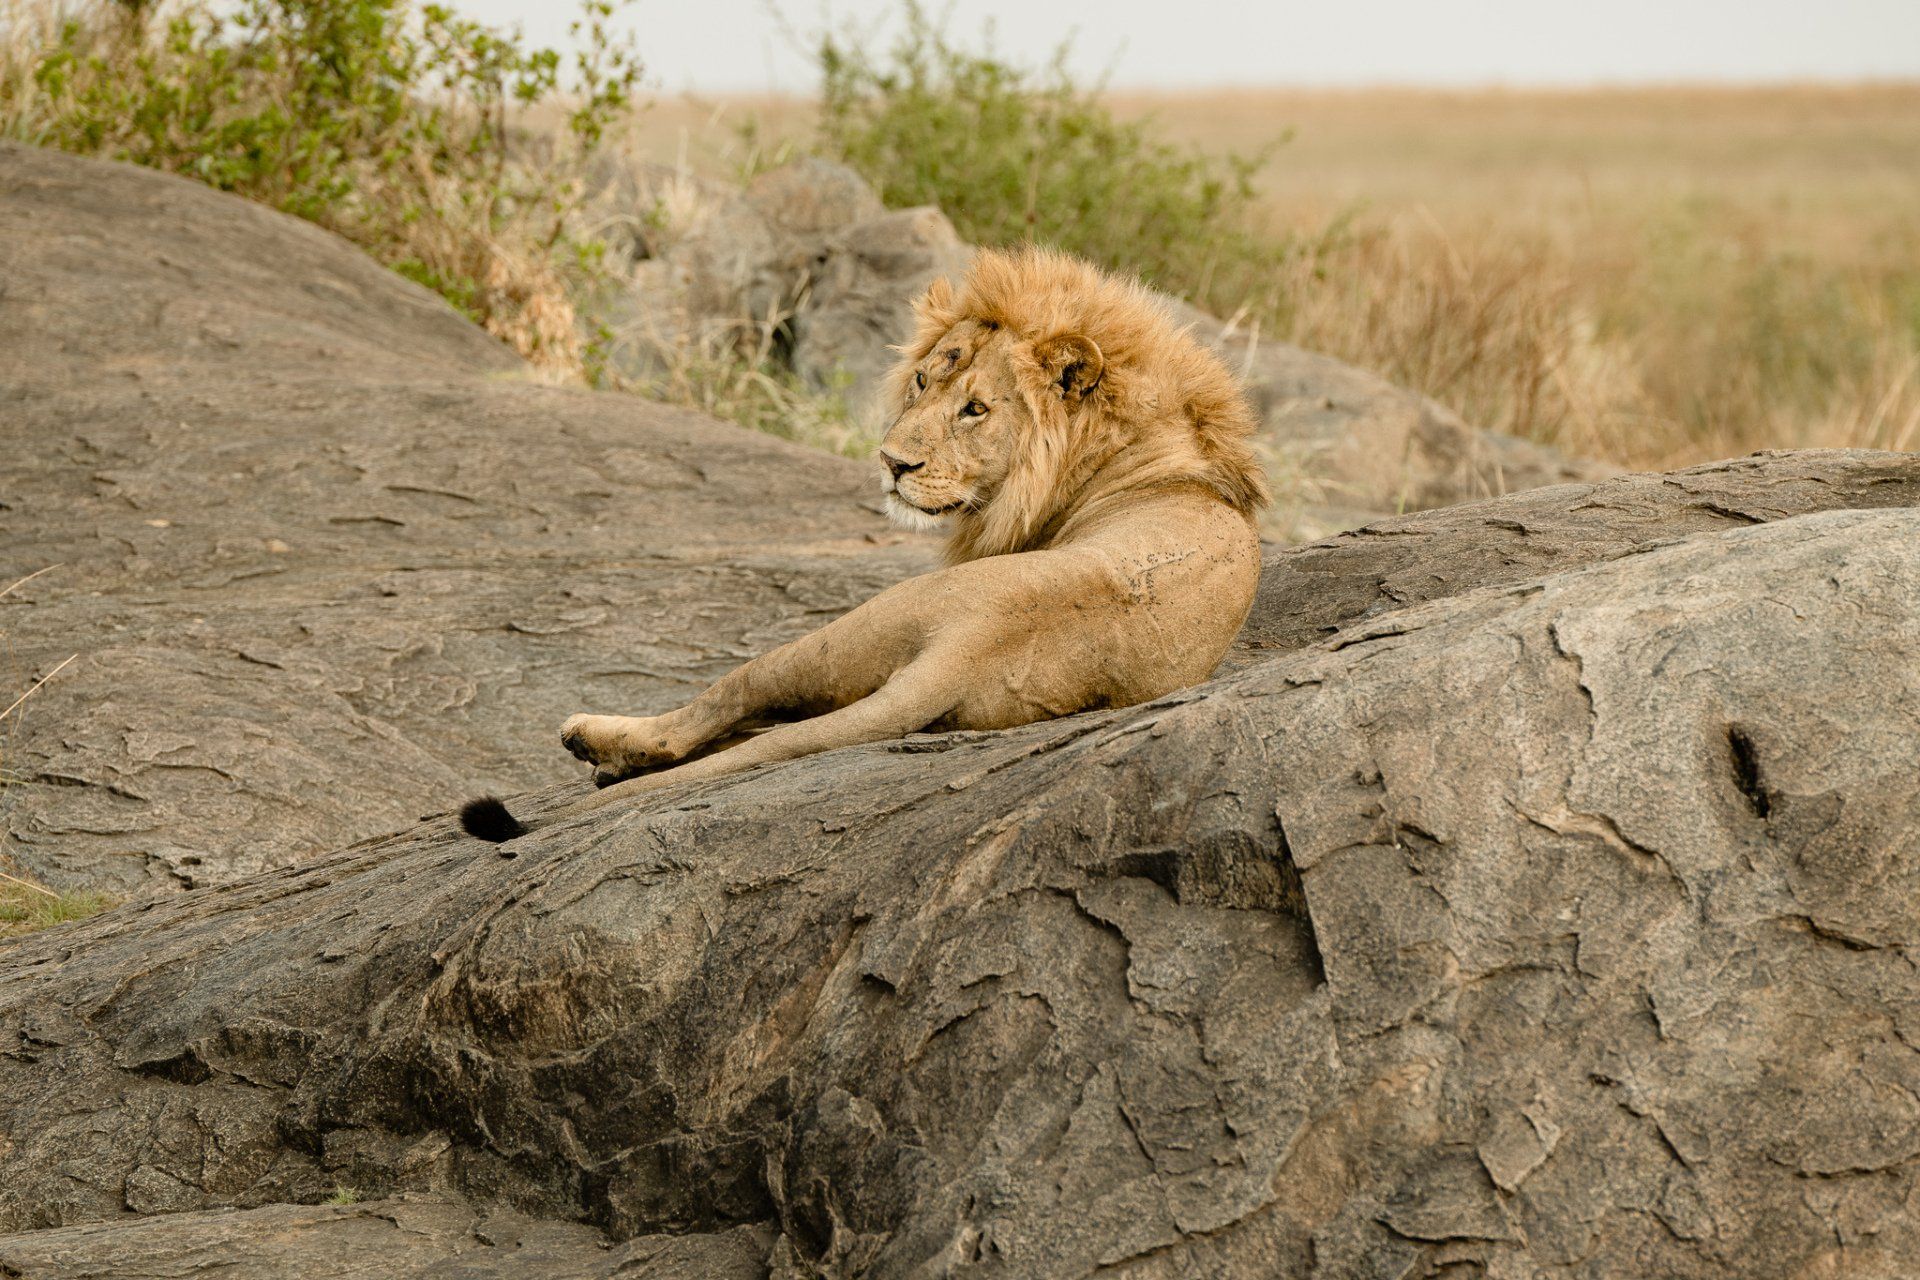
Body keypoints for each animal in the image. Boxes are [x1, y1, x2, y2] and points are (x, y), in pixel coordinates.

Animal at [461, 246, 1268, 842]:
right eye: (921, 381)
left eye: (975, 409)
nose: (891, 462)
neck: (1146, 460)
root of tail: (969, 646)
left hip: (850, 628)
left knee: (719, 705)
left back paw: (596, 743)